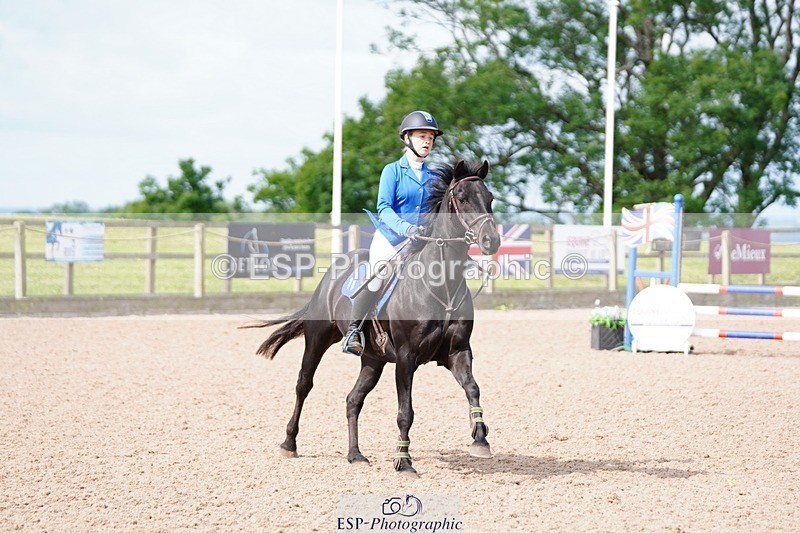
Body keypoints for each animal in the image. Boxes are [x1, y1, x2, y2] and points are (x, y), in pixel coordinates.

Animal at [244, 159, 501, 476]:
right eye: (462, 199)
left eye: (490, 198)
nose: (491, 240)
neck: (443, 286)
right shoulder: (405, 357)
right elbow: (405, 411)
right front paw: (403, 461)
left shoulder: (458, 352)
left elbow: (473, 389)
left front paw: (480, 440)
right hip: (318, 338)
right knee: (304, 384)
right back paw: (289, 443)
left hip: (373, 359)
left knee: (353, 399)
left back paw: (355, 454)